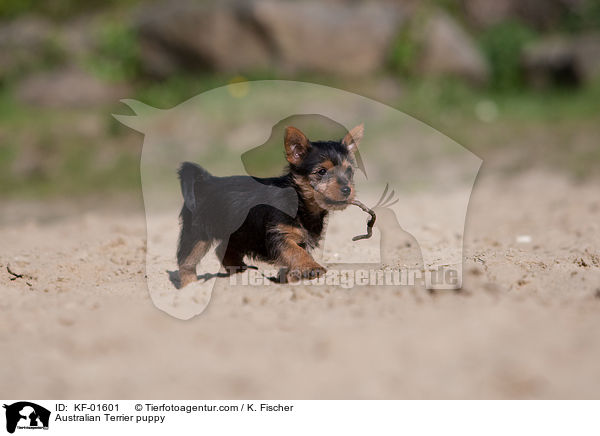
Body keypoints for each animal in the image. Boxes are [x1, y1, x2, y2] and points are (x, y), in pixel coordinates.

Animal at [176, 124, 364, 286]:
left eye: (349, 171)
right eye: (322, 172)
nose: (347, 189)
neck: (300, 201)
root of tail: (206, 181)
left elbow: (295, 255)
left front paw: (292, 277)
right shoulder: (279, 235)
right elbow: (295, 251)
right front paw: (312, 267)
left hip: (236, 233)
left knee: (223, 249)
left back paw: (240, 271)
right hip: (197, 234)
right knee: (186, 260)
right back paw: (190, 287)